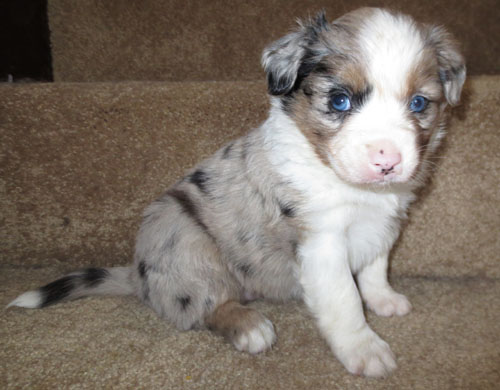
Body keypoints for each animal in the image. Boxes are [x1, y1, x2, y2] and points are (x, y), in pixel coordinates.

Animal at [9, 6, 466, 378]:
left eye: (419, 103)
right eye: (339, 101)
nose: (387, 161)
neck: (345, 182)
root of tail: (137, 276)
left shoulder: (383, 224)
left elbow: (374, 268)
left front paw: (385, 300)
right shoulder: (322, 244)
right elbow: (345, 301)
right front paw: (365, 350)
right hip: (185, 242)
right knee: (206, 306)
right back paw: (250, 326)